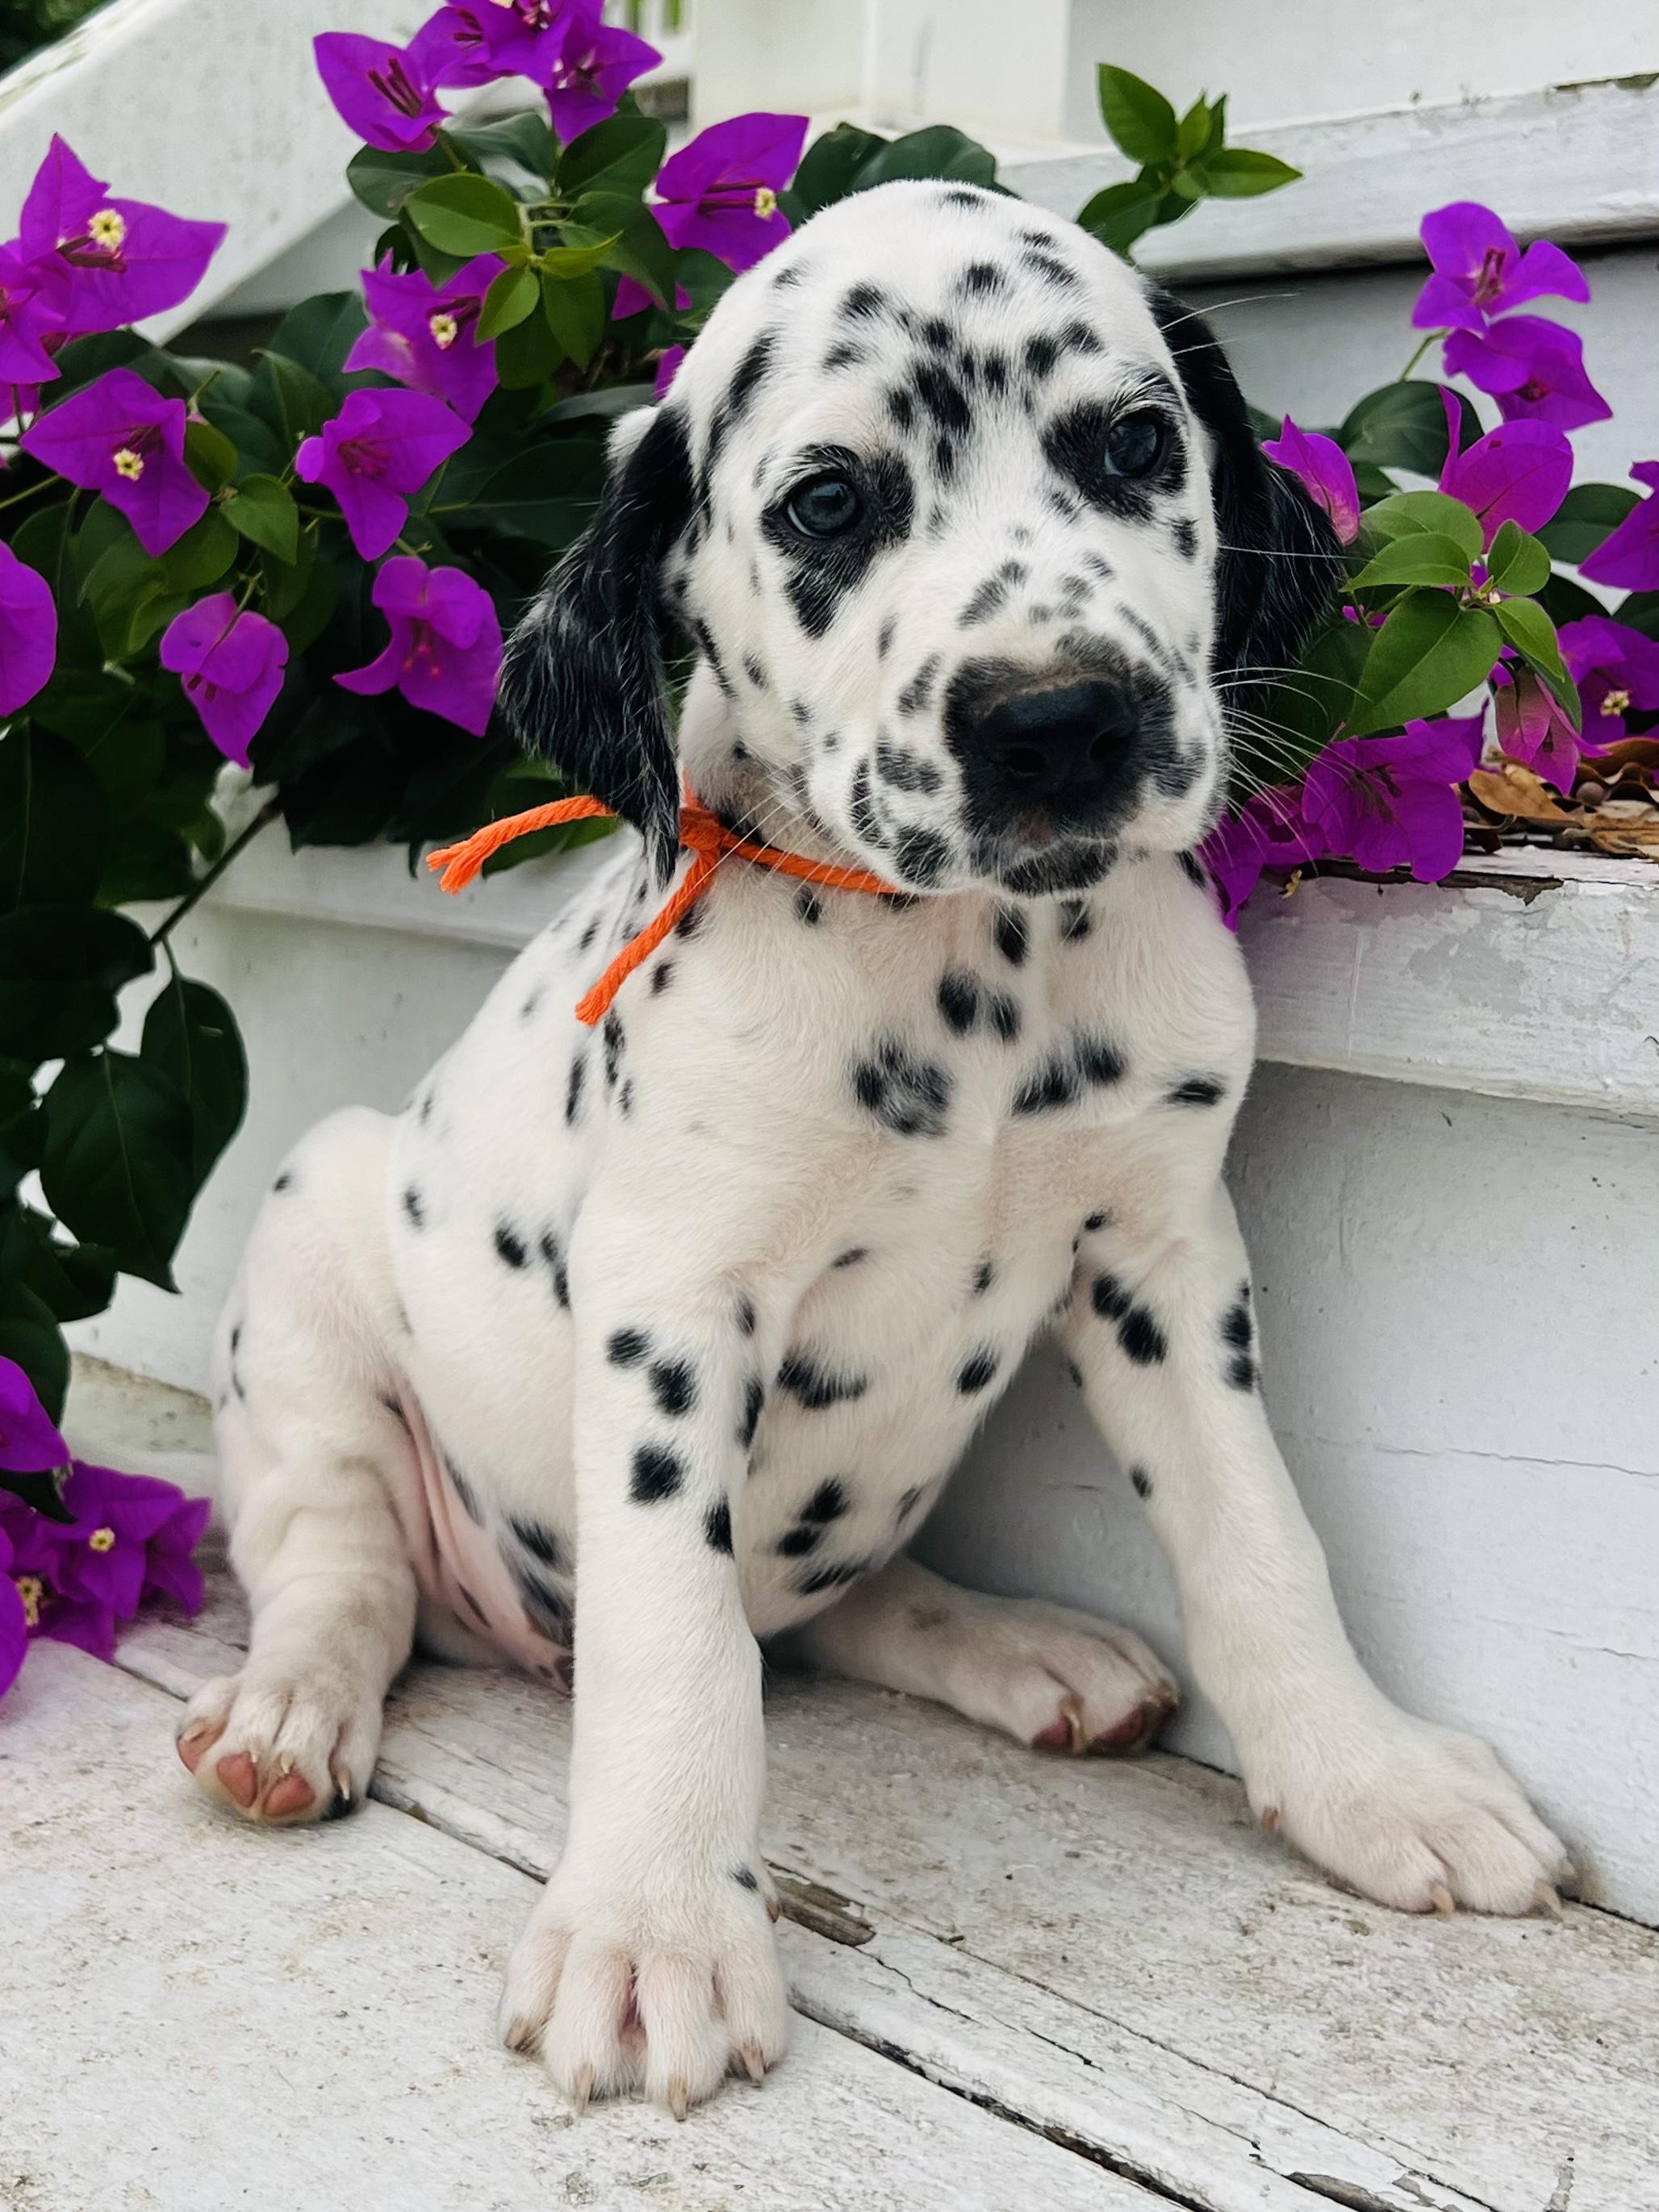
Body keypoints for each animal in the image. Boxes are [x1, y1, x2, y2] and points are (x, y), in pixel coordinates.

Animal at [178, 178, 1570, 2117]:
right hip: (318, 1232)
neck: (974, 967)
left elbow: (1257, 1541)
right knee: (340, 1564)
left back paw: (1021, 1645)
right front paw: (653, 1926)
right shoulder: (671, 1306)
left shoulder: (1164, 1261)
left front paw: (1367, 1778)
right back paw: (288, 1709)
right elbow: (675, 1651)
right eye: (827, 503)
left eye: (1135, 444)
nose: (1056, 719)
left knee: (836, 1607)